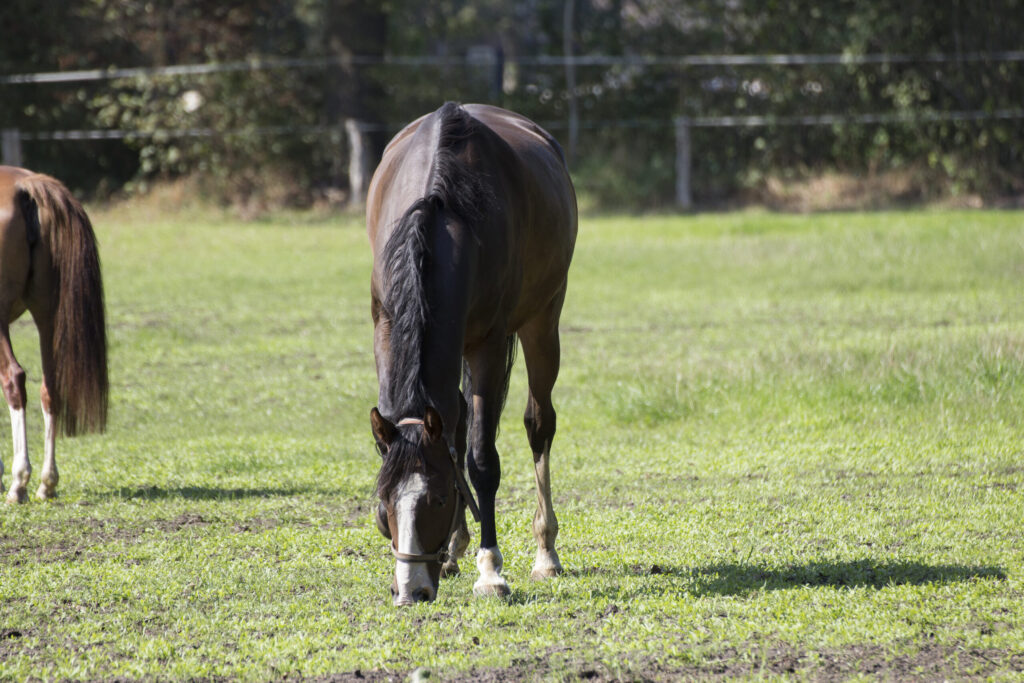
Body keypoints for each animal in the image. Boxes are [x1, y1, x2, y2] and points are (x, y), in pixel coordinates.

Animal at [0, 167, 107, 505]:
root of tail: (26, 185)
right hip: (48, 313)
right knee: (51, 386)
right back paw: (47, 482)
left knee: (14, 379)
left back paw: (19, 482)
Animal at [368, 101, 577, 602]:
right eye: (384, 503)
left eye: (440, 498)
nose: (411, 590)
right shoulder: (384, 324)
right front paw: (454, 551)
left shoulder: (489, 342)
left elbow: (481, 461)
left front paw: (491, 570)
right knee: (457, 420)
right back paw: (454, 552)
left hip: (543, 321)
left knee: (538, 424)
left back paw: (545, 552)